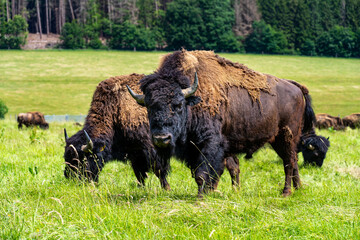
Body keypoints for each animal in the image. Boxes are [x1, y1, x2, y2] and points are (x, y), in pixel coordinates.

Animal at [128, 49, 316, 197]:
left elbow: (204, 173)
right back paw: (298, 188)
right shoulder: (195, 149)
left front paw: (201, 196)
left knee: (288, 163)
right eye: (149, 106)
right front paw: (212, 192)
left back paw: (286, 192)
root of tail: (296, 87)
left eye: (179, 104)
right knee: (293, 161)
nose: (161, 138)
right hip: (280, 140)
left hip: (286, 136)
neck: (193, 99)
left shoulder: (209, 144)